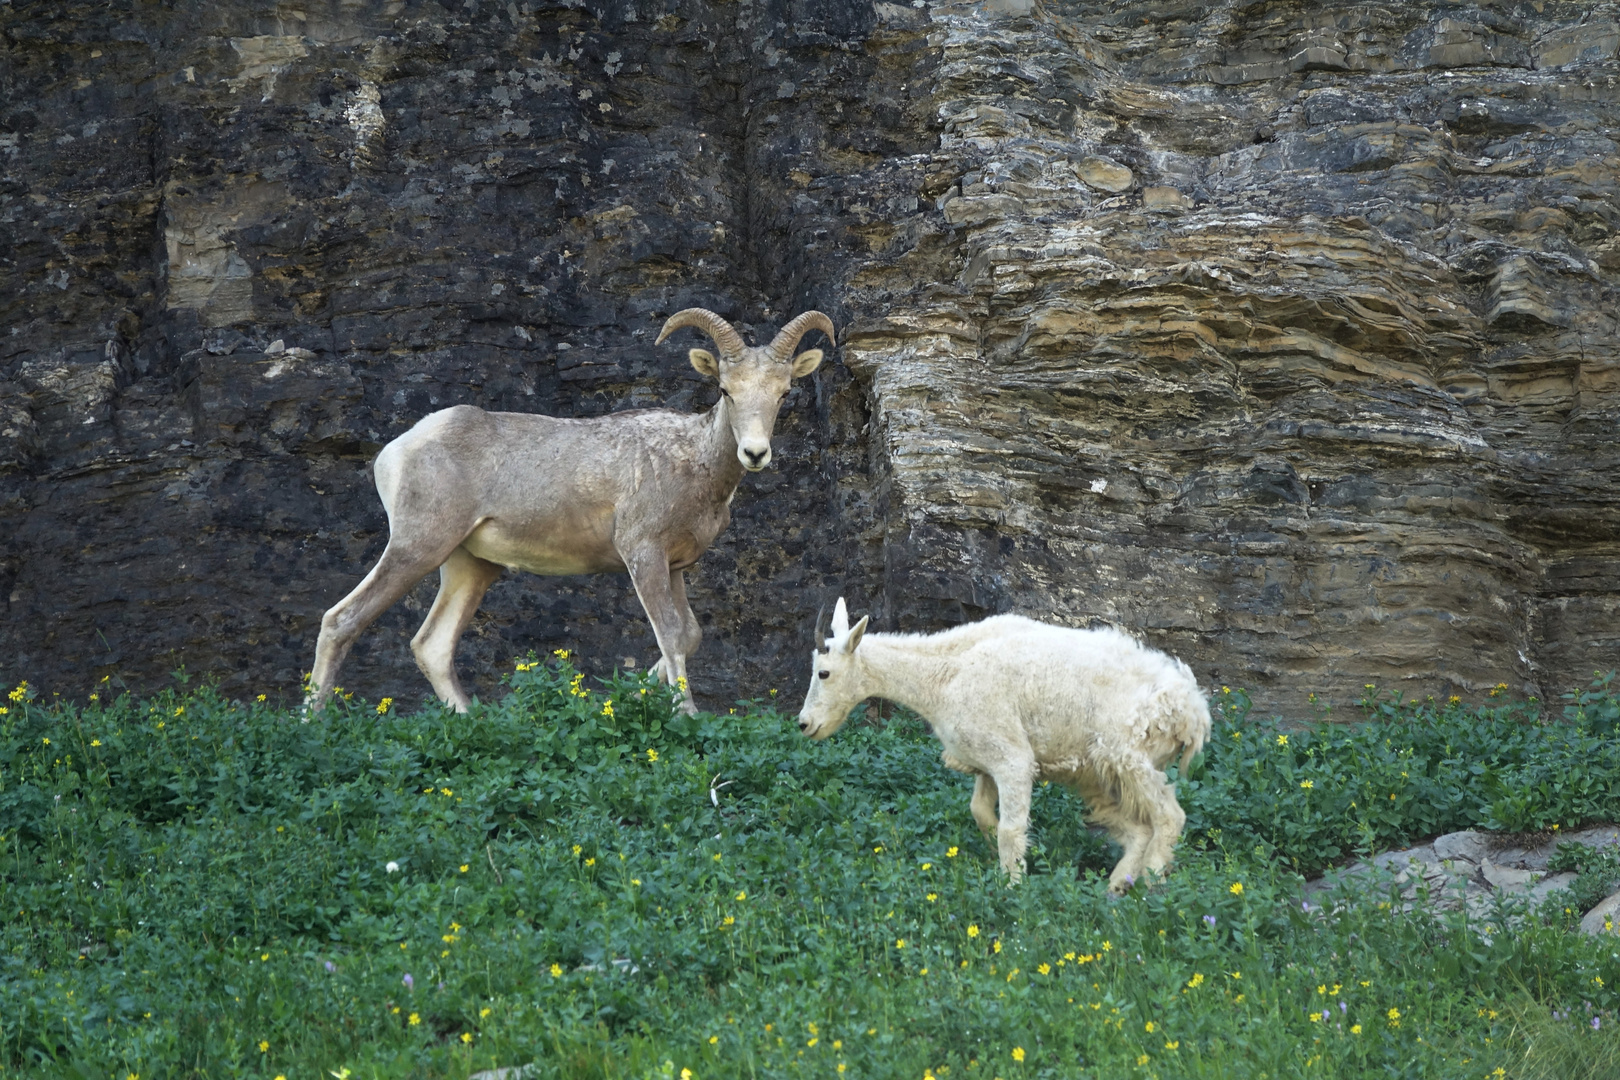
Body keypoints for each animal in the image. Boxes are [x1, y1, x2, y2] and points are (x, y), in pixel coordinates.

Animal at [306, 307, 835, 712]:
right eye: (726, 390)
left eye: (784, 393)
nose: (755, 454)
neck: (692, 461)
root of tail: (397, 451)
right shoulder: (642, 555)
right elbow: (669, 634)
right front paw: (685, 716)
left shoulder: (676, 567)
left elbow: (688, 635)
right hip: (418, 546)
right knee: (341, 620)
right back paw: (313, 724)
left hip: (469, 566)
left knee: (432, 646)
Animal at [790, 599, 1211, 893]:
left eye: (823, 672)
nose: (805, 724)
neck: (943, 676)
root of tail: (1193, 711)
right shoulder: (985, 761)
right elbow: (979, 811)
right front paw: (1005, 850)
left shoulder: (1012, 759)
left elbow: (1011, 828)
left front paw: (1013, 883)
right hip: (1096, 774)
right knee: (1138, 828)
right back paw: (1117, 886)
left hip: (1129, 755)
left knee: (1170, 816)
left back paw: (1152, 882)